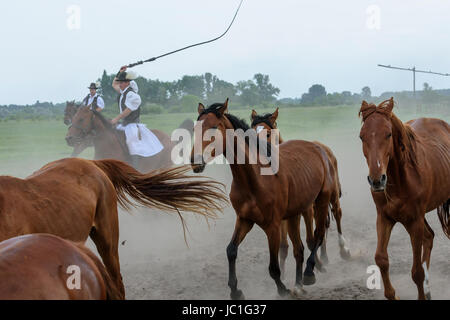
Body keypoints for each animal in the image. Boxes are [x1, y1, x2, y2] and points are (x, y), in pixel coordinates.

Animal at [190, 99, 338, 298]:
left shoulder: (272, 226)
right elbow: (231, 250)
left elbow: (274, 267)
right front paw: (235, 290)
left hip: (321, 201)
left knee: (318, 234)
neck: (255, 178)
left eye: (213, 127)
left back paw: (309, 273)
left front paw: (282, 289)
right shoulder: (244, 219)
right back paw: (298, 284)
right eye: (196, 128)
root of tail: (318, 148)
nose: (195, 161)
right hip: (295, 213)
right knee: (299, 248)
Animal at [251, 107, 350, 276]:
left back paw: (343, 250)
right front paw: (283, 273)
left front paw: (315, 265)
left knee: (336, 213)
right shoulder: (284, 216)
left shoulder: (305, 210)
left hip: (332, 195)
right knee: (323, 225)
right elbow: (284, 246)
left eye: (268, 133)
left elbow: (310, 239)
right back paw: (325, 256)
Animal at [358, 97, 450, 300]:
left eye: (388, 134)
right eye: (362, 136)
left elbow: (417, 272)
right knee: (429, 236)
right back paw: (428, 288)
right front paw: (393, 294)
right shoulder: (384, 218)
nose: (377, 180)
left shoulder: (414, 221)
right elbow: (381, 259)